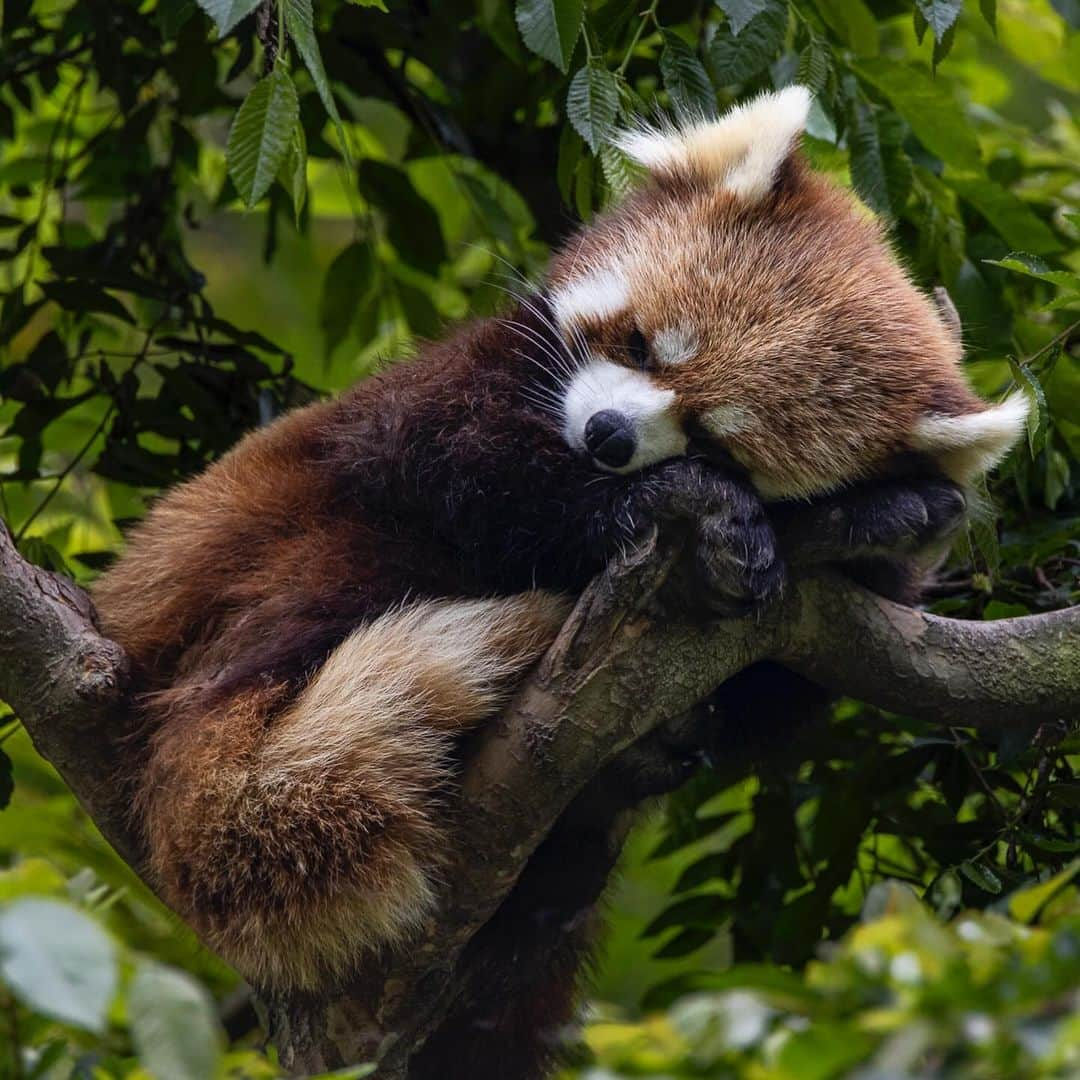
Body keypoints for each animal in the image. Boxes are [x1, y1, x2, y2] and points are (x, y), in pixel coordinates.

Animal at [90, 86, 1019, 1080]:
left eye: (720, 437)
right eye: (642, 345)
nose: (609, 437)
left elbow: (783, 686)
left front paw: (878, 517)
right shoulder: (461, 387)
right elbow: (460, 463)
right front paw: (688, 503)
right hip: (264, 557)